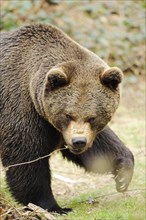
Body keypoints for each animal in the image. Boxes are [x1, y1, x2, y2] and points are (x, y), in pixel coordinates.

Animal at [0, 23, 134, 213]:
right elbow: (26, 159)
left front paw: (122, 173)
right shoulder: (21, 109)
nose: (79, 142)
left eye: (92, 117)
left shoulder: (60, 129)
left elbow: (100, 147)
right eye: (68, 115)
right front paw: (54, 206)